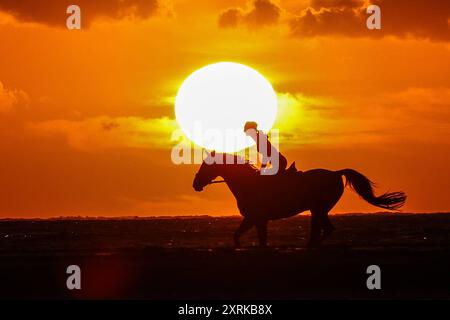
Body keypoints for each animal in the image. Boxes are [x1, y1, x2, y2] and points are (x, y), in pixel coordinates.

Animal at [192, 152, 406, 248]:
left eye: (205, 165)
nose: (195, 184)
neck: (248, 183)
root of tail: (336, 173)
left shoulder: (256, 218)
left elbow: (254, 239)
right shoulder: (255, 219)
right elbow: (245, 236)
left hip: (319, 208)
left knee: (323, 229)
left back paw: (311, 247)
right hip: (319, 209)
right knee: (325, 229)